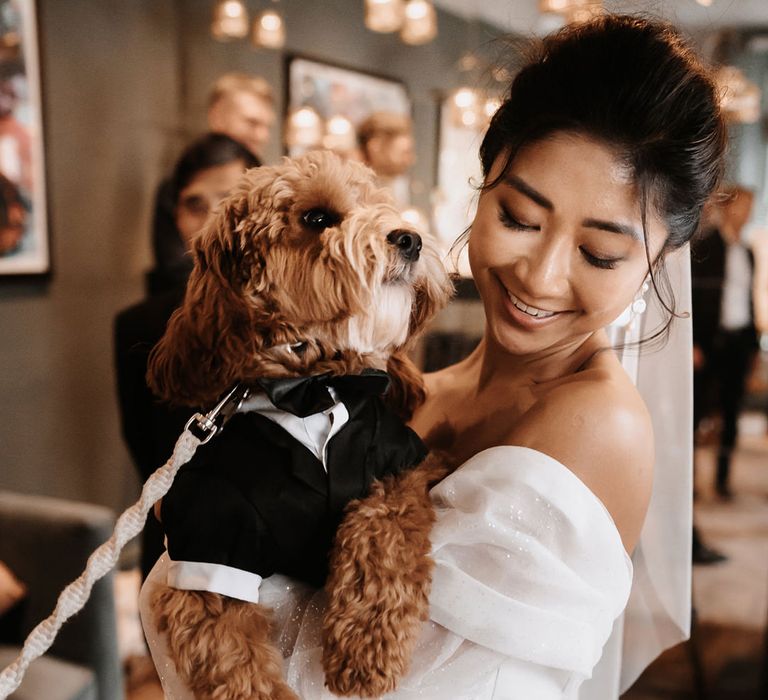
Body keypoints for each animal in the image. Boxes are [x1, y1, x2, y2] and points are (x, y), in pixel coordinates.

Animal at [145, 150, 452, 696]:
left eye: (380, 206)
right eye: (317, 218)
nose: (410, 238)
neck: (313, 388)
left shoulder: (403, 466)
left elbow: (382, 530)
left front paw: (366, 645)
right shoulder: (208, 544)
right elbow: (237, 668)